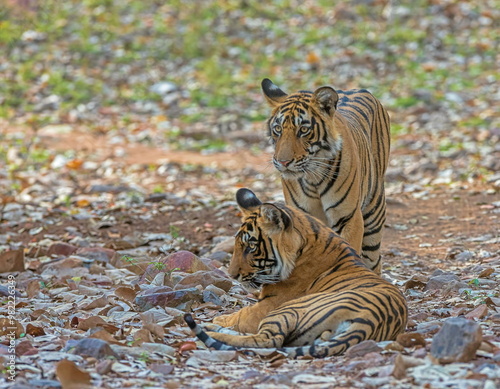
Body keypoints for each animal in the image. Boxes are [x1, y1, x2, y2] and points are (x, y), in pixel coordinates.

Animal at [184, 188, 406, 358]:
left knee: (267, 340)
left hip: (288, 309)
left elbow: (239, 315)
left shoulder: (267, 306)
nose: (231, 275)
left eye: (251, 246)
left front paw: (218, 320)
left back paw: (213, 330)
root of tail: (368, 321)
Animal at [260, 78, 392, 272]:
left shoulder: (349, 218)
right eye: (277, 128)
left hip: (374, 216)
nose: (283, 162)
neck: (312, 177)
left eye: (303, 130)